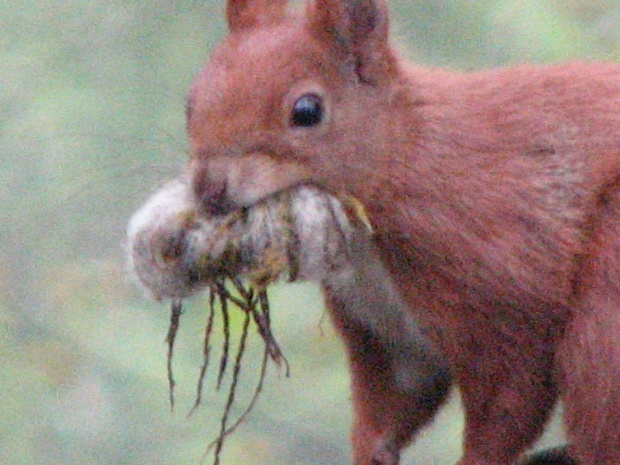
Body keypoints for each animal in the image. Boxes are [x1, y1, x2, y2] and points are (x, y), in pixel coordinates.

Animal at [179, 0, 620, 464]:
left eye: (307, 111)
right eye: (191, 103)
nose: (208, 187)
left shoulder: (505, 281)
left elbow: (508, 399)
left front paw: (477, 458)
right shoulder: (386, 332)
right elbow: (394, 401)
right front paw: (368, 451)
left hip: (604, 316)